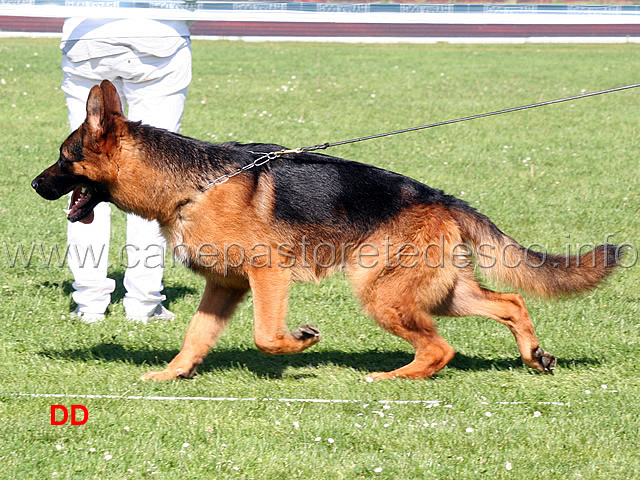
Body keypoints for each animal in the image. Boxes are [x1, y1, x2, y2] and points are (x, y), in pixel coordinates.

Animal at [31, 80, 620, 380]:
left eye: (63, 157)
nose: (34, 184)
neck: (193, 184)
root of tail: (440, 198)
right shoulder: (224, 287)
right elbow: (196, 336)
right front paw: (173, 374)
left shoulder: (268, 275)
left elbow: (266, 336)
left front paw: (300, 343)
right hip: (437, 292)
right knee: (511, 304)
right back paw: (533, 355)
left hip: (381, 293)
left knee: (441, 350)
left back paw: (395, 378)